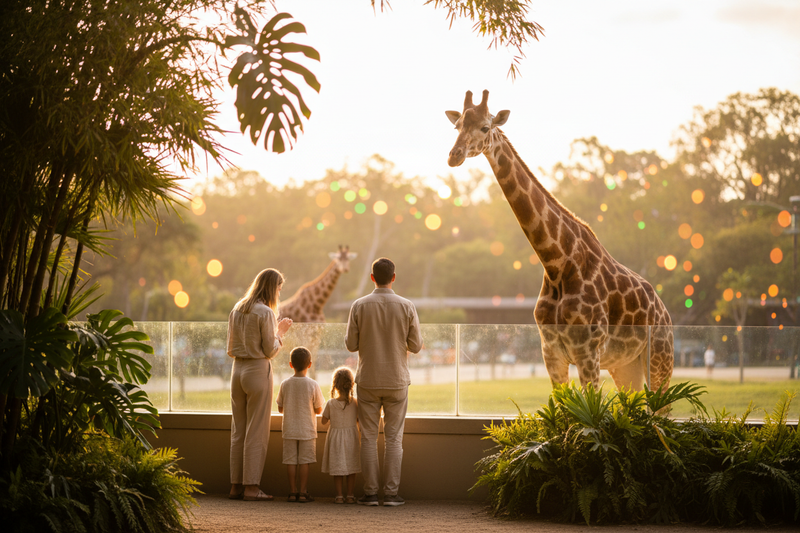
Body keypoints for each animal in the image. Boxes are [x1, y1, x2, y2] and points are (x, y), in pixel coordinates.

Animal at [445, 90, 673, 393]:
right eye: (457, 126)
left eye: (485, 127)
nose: (454, 156)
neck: (556, 262)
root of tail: (665, 311)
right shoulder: (551, 353)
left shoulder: (588, 352)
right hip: (625, 366)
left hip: (660, 358)